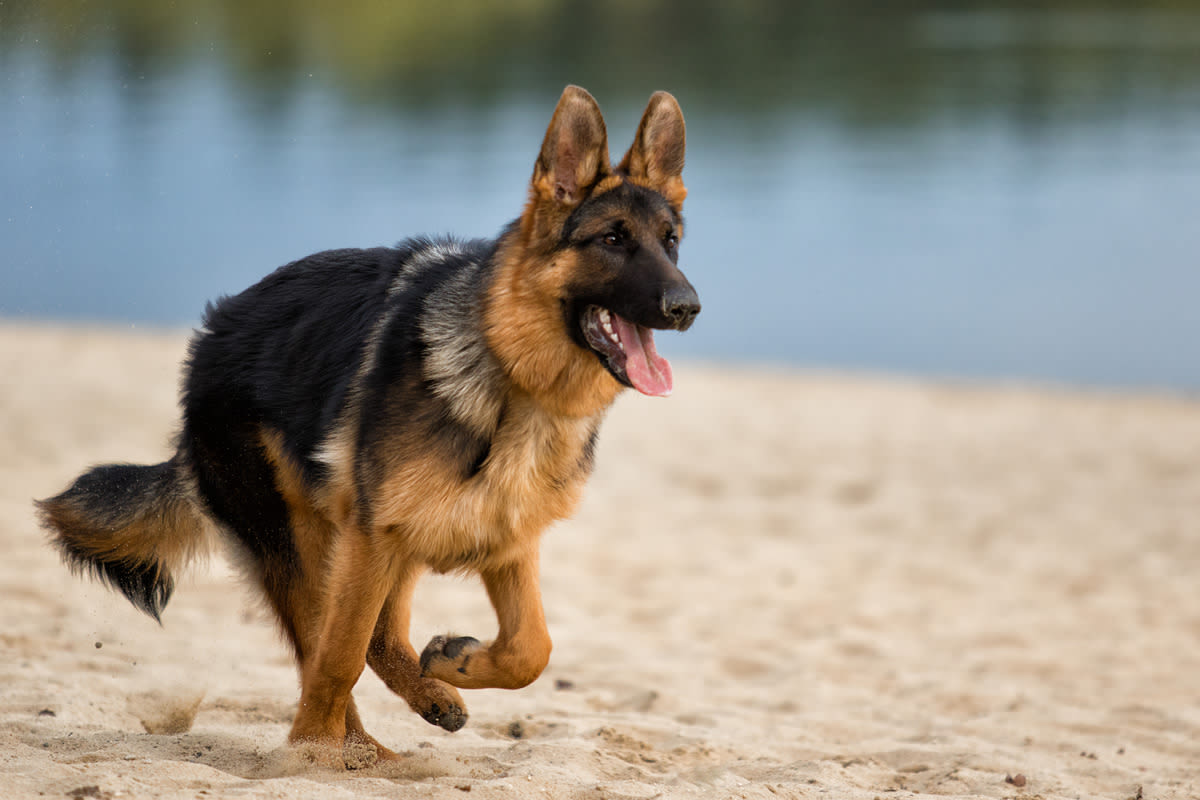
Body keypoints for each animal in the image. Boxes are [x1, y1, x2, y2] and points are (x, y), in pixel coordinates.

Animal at [37, 86, 700, 762]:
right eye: (613, 238)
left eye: (670, 241)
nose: (687, 307)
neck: (510, 378)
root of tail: (214, 330)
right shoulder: (374, 540)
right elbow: (338, 657)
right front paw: (312, 756)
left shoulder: (503, 542)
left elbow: (530, 650)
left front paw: (457, 661)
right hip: (307, 546)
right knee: (322, 646)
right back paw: (343, 751)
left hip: (387, 540)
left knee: (379, 637)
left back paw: (411, 709)